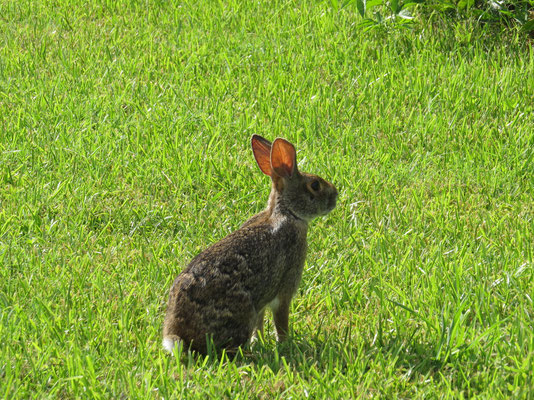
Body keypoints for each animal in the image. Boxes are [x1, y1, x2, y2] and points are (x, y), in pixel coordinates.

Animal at [163, 134, 340, 354]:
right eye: (315, 185)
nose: (335, 195)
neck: (287, 212)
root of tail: (178, 334)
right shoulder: (285, 289)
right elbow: (280, 321)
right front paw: (285, 344)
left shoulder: (263, 301)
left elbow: (260, 323)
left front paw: (261, 341)